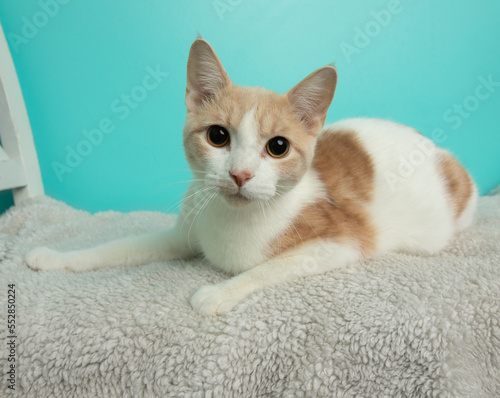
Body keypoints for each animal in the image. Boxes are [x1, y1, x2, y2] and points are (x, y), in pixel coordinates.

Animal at [25, 38, 478, 316]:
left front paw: (218, 293)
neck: (232, 219)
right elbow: (118, 247)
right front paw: (56, 258)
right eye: (218, 136)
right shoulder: (184, 233)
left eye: (277, 146)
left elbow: (265, 269)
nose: (240, 174)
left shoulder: (341, 240)